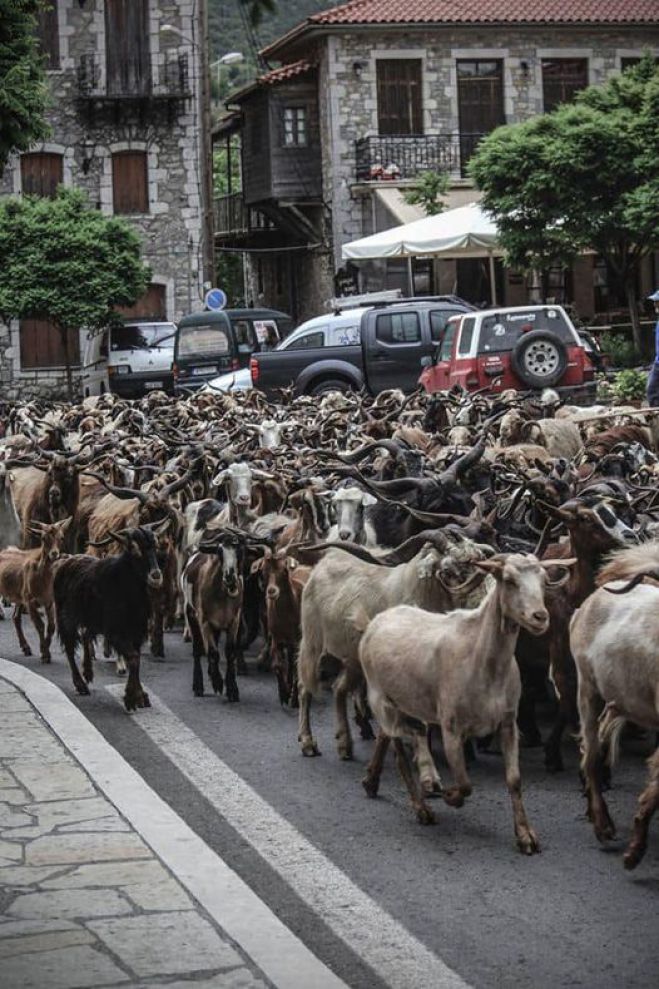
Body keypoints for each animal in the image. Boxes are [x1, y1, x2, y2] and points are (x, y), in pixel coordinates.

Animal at [53, 524, 165, 712]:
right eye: (133, 548)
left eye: (156, 546)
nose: (156, 576)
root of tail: (65, 560)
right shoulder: (115, 632)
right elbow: (133, 658)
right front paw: (132, 698)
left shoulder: (137, 631)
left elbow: (137, 658)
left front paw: (140, 696)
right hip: (65, 618)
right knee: (69, 647)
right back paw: (81, 684)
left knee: (85, 635)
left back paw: (88, 672)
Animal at [360, 552, 572, 852]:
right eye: (509, 580)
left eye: (543, 581)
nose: (540, 617)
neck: (482, 662)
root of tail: (378, 620)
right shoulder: (451, 728)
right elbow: (464, 783)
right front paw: (450, 796)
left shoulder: (508, 724)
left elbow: (514, 780)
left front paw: (525, 835)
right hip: (381, 700)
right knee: (399, 752)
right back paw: (422, 808)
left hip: (401, 701)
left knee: (390, 736)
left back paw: (372, 781)